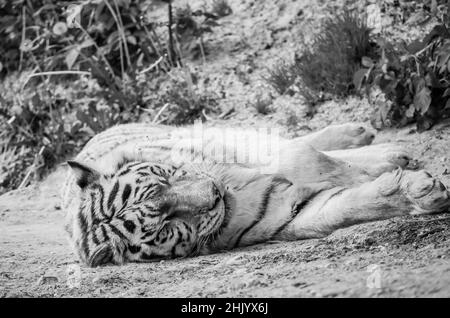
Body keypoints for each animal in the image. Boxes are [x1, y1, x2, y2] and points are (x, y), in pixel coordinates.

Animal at [62, 123, 450, 268]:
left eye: (164, 178)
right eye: (165, 226)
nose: (215, 194)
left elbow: (306, 158)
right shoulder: (287, 213)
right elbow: (344, 204)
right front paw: (421, 190)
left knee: (299, 141)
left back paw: (370, 140)